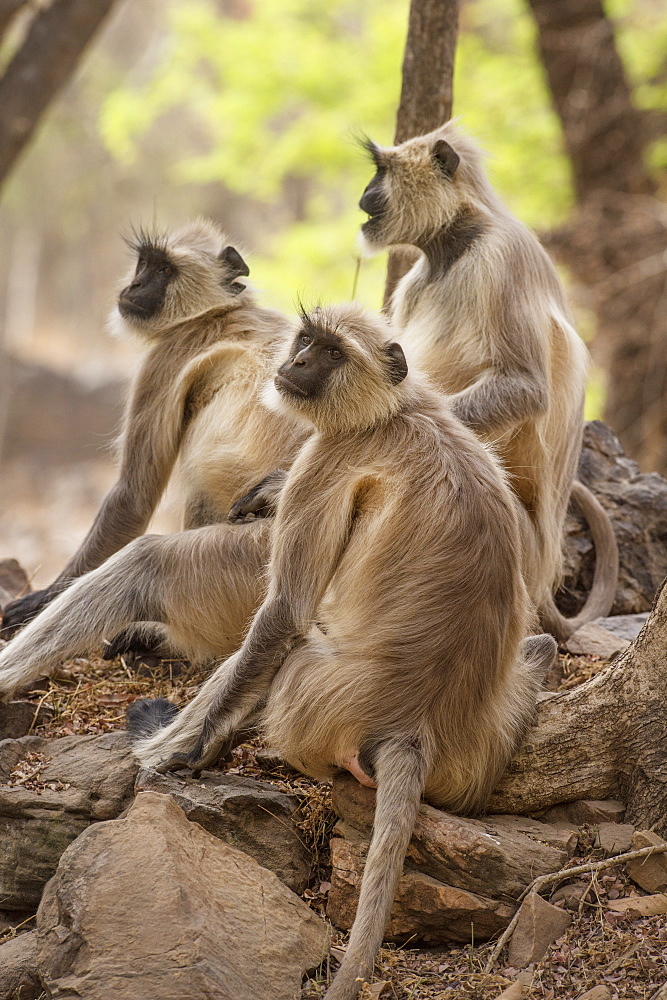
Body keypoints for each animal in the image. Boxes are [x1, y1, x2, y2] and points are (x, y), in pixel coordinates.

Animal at [128, 300, 556, 1000]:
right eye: (306, 340)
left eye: (330, 353)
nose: (297, 363)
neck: (394, 410)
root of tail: (416, 726)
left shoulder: (326, 457)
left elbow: (283, 615)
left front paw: (173, 749)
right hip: (482, 750)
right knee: (538, 648)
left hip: (317, 705)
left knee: (293, 655)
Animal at [358, 125, 620, 640]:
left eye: (381, 171)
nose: (364, 195)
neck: (455, 245)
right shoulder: (413, 282)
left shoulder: (502, 256)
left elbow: (524, 388)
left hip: (519, 545)